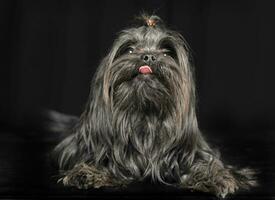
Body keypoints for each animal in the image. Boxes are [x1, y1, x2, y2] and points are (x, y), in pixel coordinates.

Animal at [51, 14, 256, 198]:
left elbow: (208, 164)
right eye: (130, 50)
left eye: (166, 53)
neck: (145, 117)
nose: (148, 57)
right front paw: (89, 172)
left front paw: (215, 177)